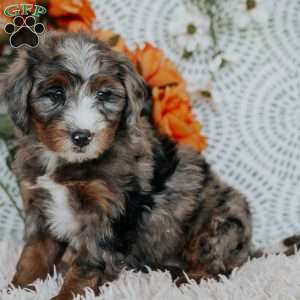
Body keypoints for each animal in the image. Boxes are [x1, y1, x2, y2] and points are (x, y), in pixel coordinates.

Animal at [0, 31, 253, 298]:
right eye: (56, 93)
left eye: (104, 95)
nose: (82, 136)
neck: (66, 163)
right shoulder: (39, 205)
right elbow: (33, 254)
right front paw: (16, 288)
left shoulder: (109, 214)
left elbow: (88, 262)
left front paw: (69, 293)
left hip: (219, 226)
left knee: (214, 267)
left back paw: (187, 281)